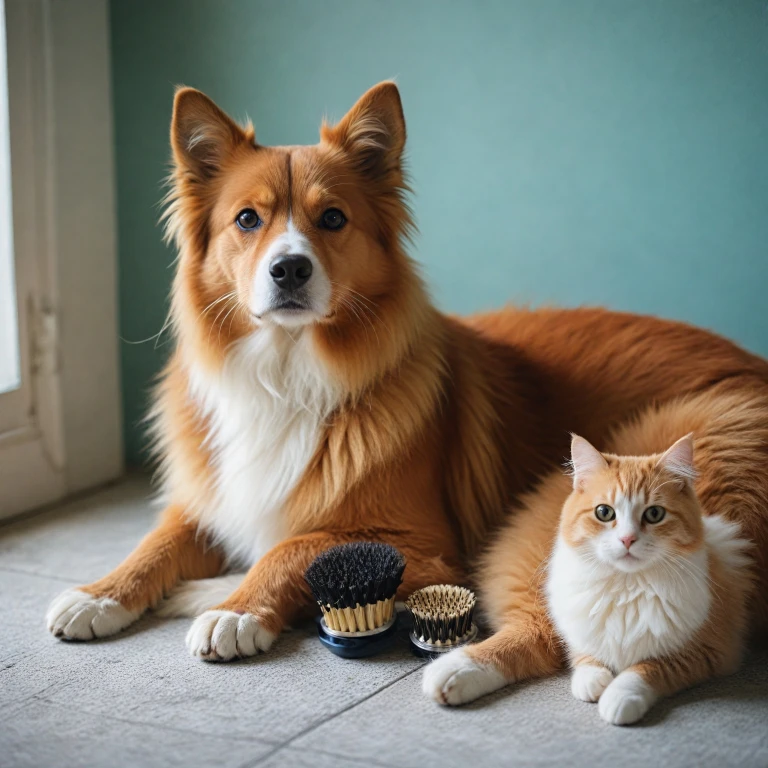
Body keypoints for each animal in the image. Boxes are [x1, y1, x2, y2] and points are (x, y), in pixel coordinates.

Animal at [46, 84, 768, 668]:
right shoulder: (211, 497)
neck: (288, 371)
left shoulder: (421, 547)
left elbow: (296, 547)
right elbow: (155, 543)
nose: (289, 269)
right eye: (247, 220)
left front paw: (235, 609)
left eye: (332, 219)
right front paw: (99, 594)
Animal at [420, 432, 752, 728]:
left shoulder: (708, 650)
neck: (625, 587)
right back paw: (451, 672)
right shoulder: (576, 626)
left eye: (654, 514)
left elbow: (648, 669)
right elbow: (584, 655)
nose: (627, 539)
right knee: (520, 636)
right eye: (604, 513)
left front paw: (618, 697)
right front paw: (594, 681)